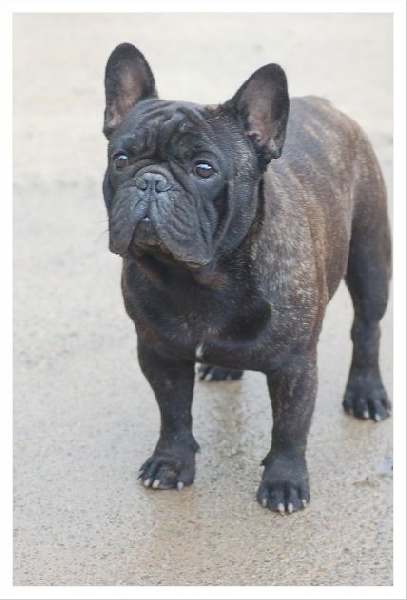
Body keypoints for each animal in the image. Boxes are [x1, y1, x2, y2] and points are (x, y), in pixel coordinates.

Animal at [102, 43, 391, 514]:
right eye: (121, 160)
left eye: (203, 169)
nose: (151, 181)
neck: (202, 277)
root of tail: (326, 105)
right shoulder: (159, 352)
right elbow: (173, 412)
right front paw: (171, 462)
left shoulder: (295, 365)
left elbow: (290, 427)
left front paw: (284, 483)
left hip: (370, 258)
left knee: (367, 327)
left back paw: (366, 393)